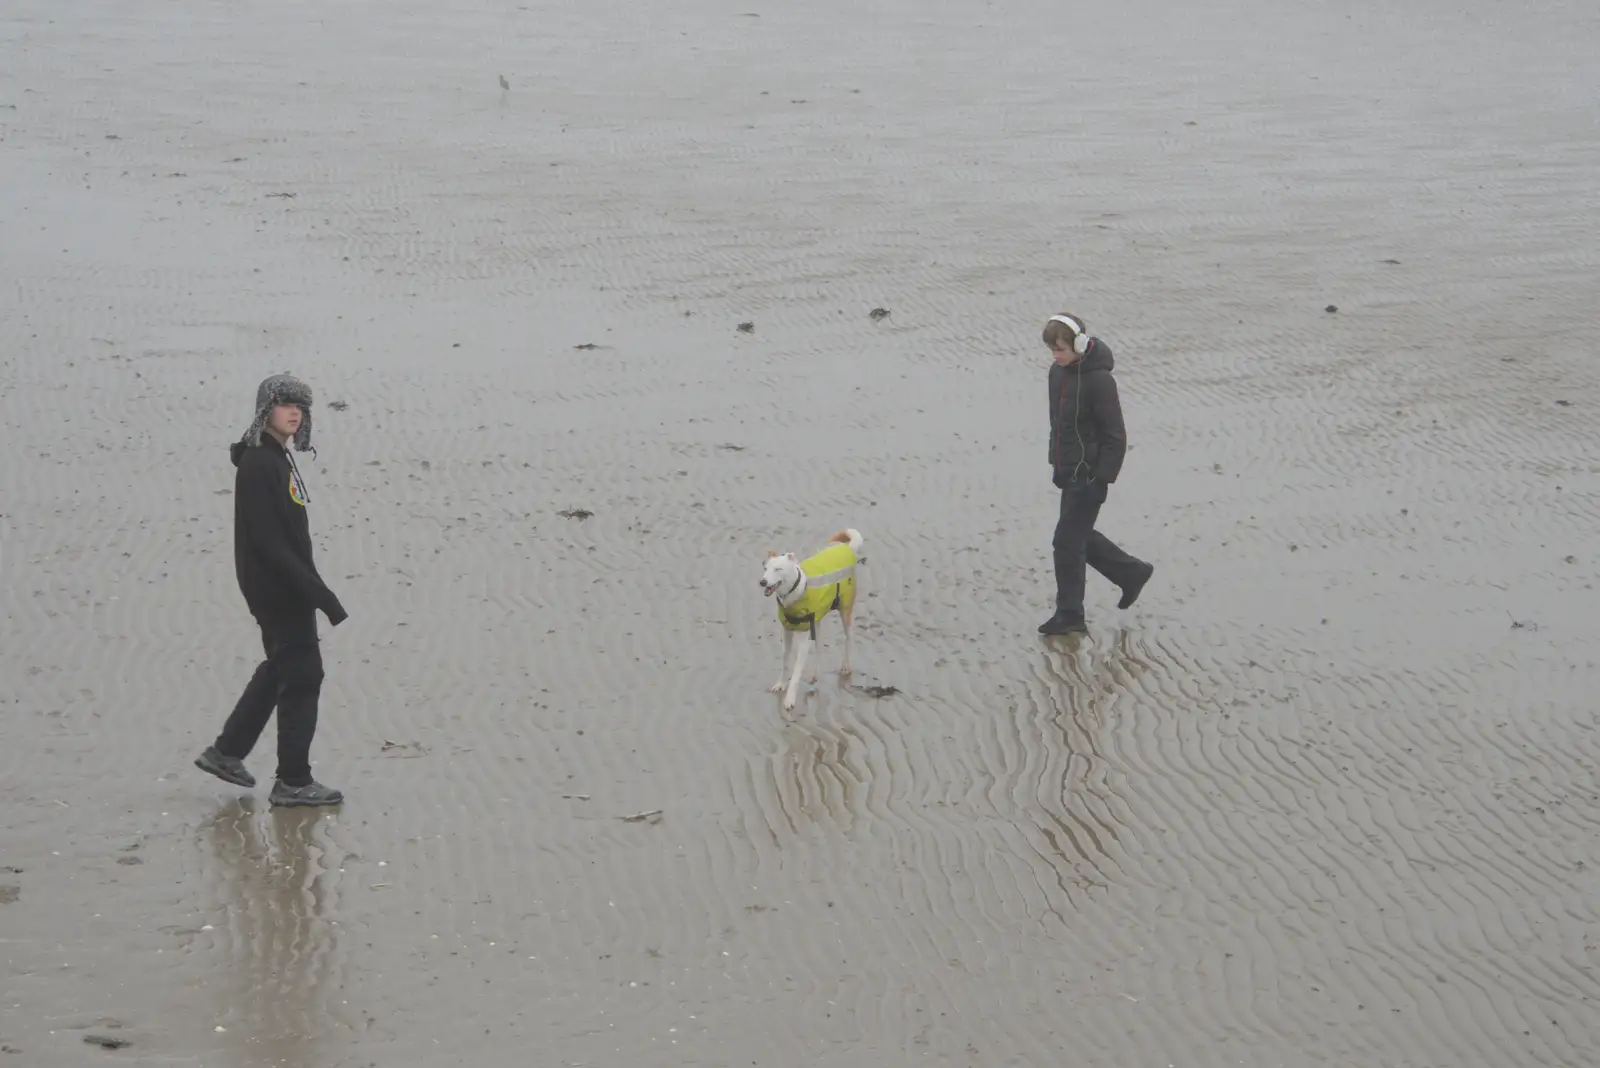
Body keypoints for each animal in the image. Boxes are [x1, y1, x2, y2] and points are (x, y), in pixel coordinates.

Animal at [761, 530, 864, 713]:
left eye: (778, 569)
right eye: (765, 569)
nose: (763, 582)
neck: (794, 593)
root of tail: (846, 547)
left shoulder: (803, 638)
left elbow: (796, 671)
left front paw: (789, 699)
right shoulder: (787, 632)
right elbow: (785, 661)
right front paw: (781, 684)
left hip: (845, 612)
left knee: (849, 637)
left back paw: (846, 666)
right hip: (816, 622)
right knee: (820, 648)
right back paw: (815, 675)